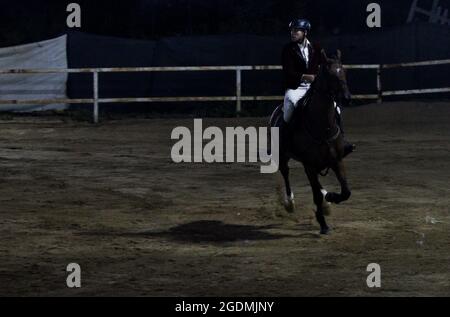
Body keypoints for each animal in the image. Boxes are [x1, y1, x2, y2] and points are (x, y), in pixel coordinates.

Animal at [268, 48, 354, 233]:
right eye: (330, 74)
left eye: (344, 71)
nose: (347, 98)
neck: (322, 126)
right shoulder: (309, 164)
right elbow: (315, 195)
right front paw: (323, 224)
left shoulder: (336, 160)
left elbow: (345, 191)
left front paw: (331, 197)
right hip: (283, 156)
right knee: (286, 173)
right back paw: (290, 203)